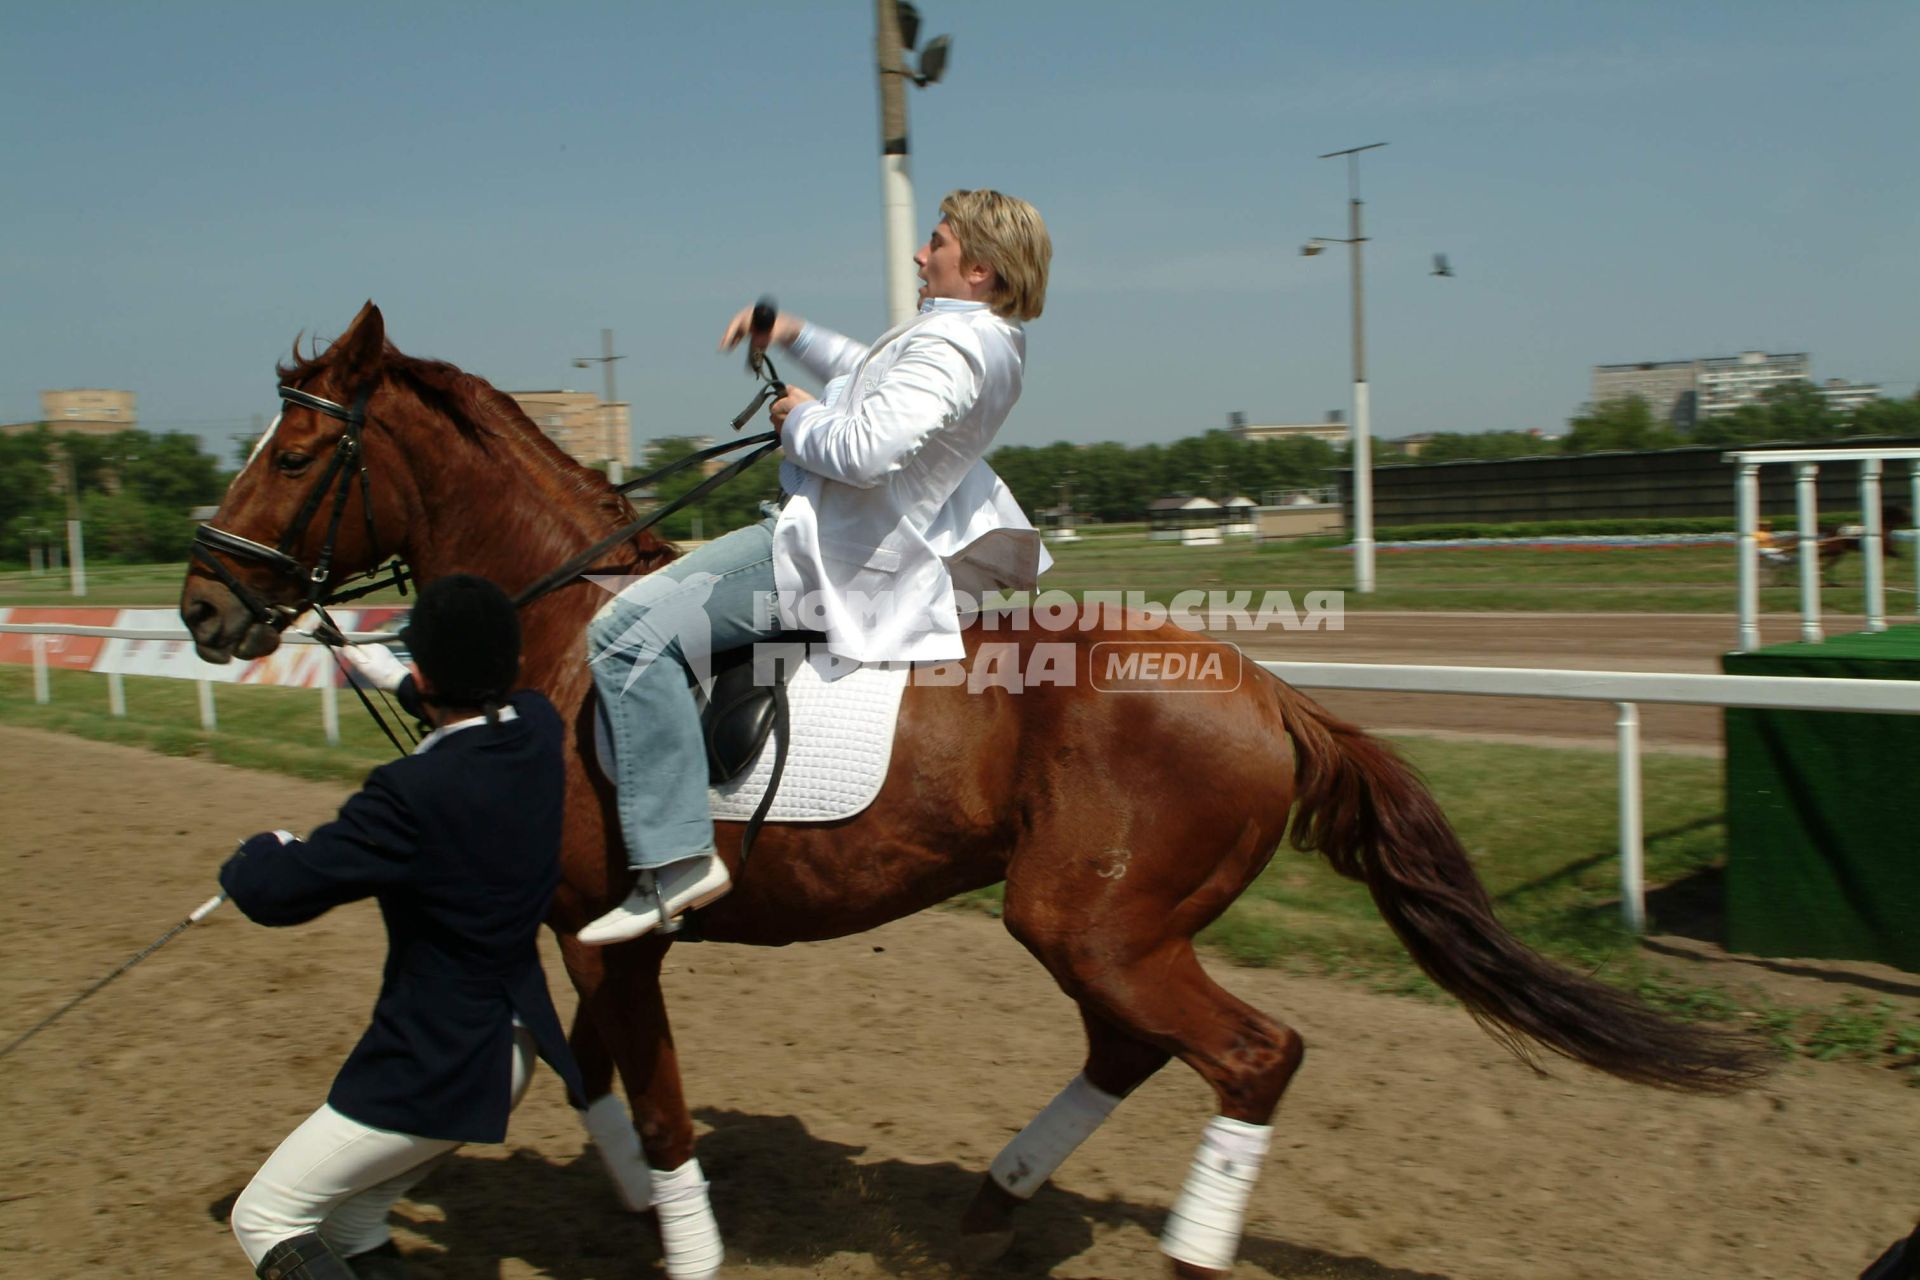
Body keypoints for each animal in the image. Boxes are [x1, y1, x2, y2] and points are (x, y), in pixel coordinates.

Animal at [187, 307, 1758, 1280]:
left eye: (297, 450)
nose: (204, 602)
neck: (567, 631)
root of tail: (1270, 691)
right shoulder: (577, 930)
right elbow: (563, 1076)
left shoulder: (607, 931)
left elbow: (653, 1103)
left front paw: (673, 1235)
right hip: (1102, 928)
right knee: (1134, 1051)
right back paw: (992, 1200)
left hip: (1094, 923)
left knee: (1252, 1054)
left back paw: (1177, 1244)